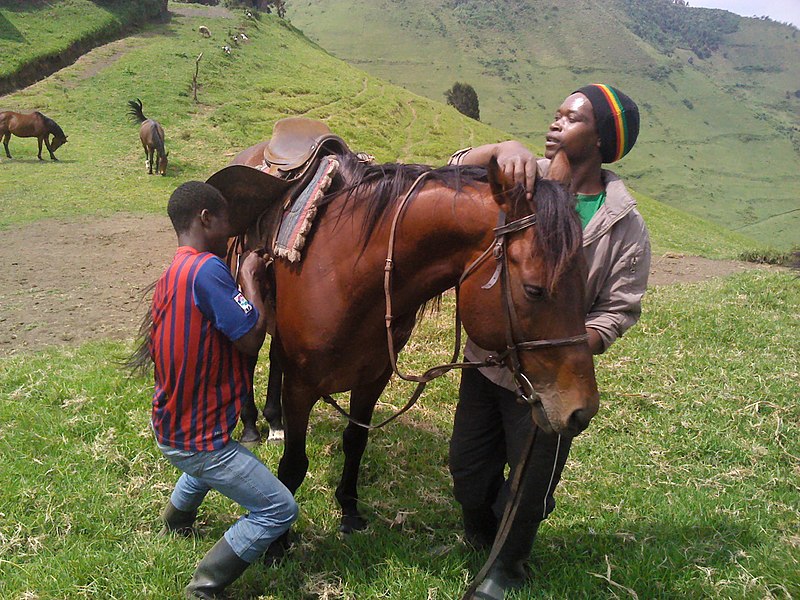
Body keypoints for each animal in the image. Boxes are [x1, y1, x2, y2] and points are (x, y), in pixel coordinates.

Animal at [208, 144, 600, 528]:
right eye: (534, 290)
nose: (582, 410)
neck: (346, 274)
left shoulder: (373, 378)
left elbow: (355, 440)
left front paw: (349, 508)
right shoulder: (301, 387)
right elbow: (293, 465)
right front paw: (281, 540)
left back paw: (274, 422)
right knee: (251, 356)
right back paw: (252, 426)